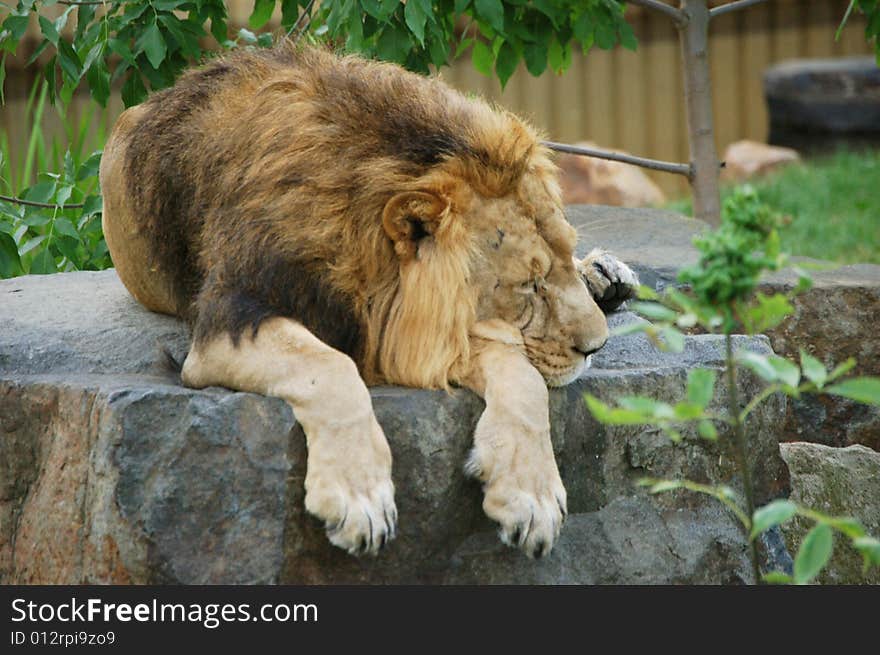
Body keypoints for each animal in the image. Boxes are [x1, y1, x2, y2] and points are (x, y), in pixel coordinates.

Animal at [99, 41, 640, 560]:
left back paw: (607, 277)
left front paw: (531, 498)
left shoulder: (421, 330)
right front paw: (359, 500)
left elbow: (524, 379)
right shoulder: (233, 314)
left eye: (557, 264)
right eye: (529, 285)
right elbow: (331, 368)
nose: (596, 348)